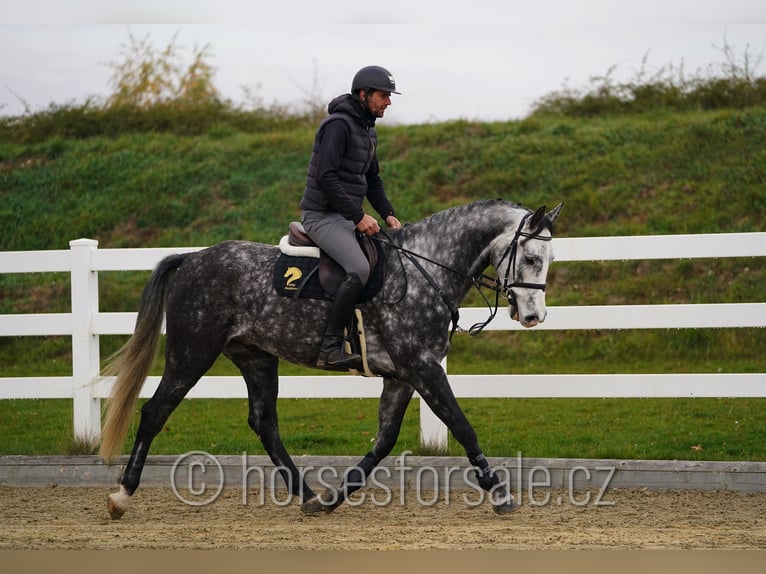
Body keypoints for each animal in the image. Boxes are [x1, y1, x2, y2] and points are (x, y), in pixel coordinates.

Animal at [100, 198, 563, 518]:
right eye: (531, 257)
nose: (534, 317)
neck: (426, 270)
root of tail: (193, 258)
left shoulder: (401, 376)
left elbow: (383, 442)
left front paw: (335, 497)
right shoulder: (423, 368)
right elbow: (462, 427)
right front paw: (500, 494)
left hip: (256, 358)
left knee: (264, 423)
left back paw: (307, 496)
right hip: (192, 353)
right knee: (155, 412)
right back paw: (122, 495)